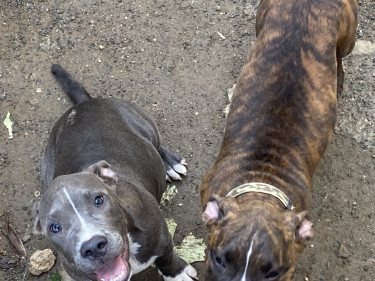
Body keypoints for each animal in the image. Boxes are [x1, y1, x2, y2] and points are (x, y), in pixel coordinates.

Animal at [32, 64, 198, 280]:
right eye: (55, 227)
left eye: (99, 200)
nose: (93, 247)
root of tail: (84, 104)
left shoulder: (163, 238)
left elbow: (167, 258)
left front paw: (177, 273)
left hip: (143, 122)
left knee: (156, 144)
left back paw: (170, 163)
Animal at [201, 0, 360, 278]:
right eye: (219, 259)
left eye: (273, 273)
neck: (263, 178)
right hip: (262, 19)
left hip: (347, 37)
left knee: (340, 56)